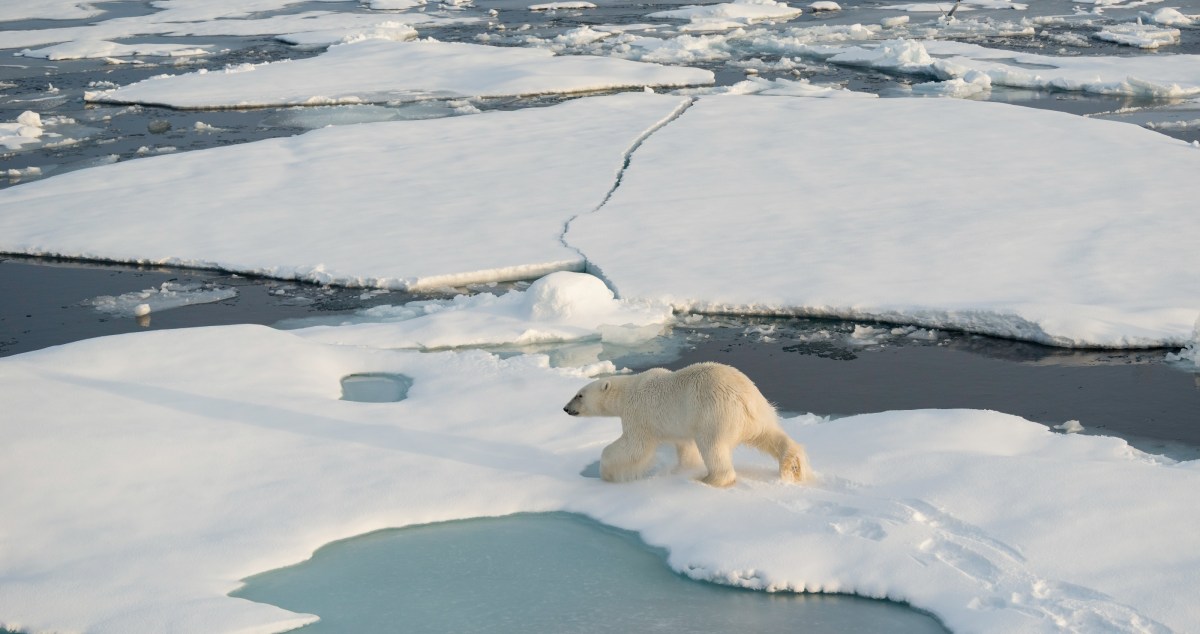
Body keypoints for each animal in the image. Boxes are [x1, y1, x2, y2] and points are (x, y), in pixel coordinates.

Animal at [563, 361, 812, 487]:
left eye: (579, 395)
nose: (565, 408)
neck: (629, 389)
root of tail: (745, 399)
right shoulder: (679, 424)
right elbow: (685, 446)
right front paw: (681, 468)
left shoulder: (640, 413)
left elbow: (635, 446)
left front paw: (608, 472)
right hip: (758, 413)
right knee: (769, 435)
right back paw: (794, 466)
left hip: (714, 414)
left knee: (713, 447)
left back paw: (709, 479)